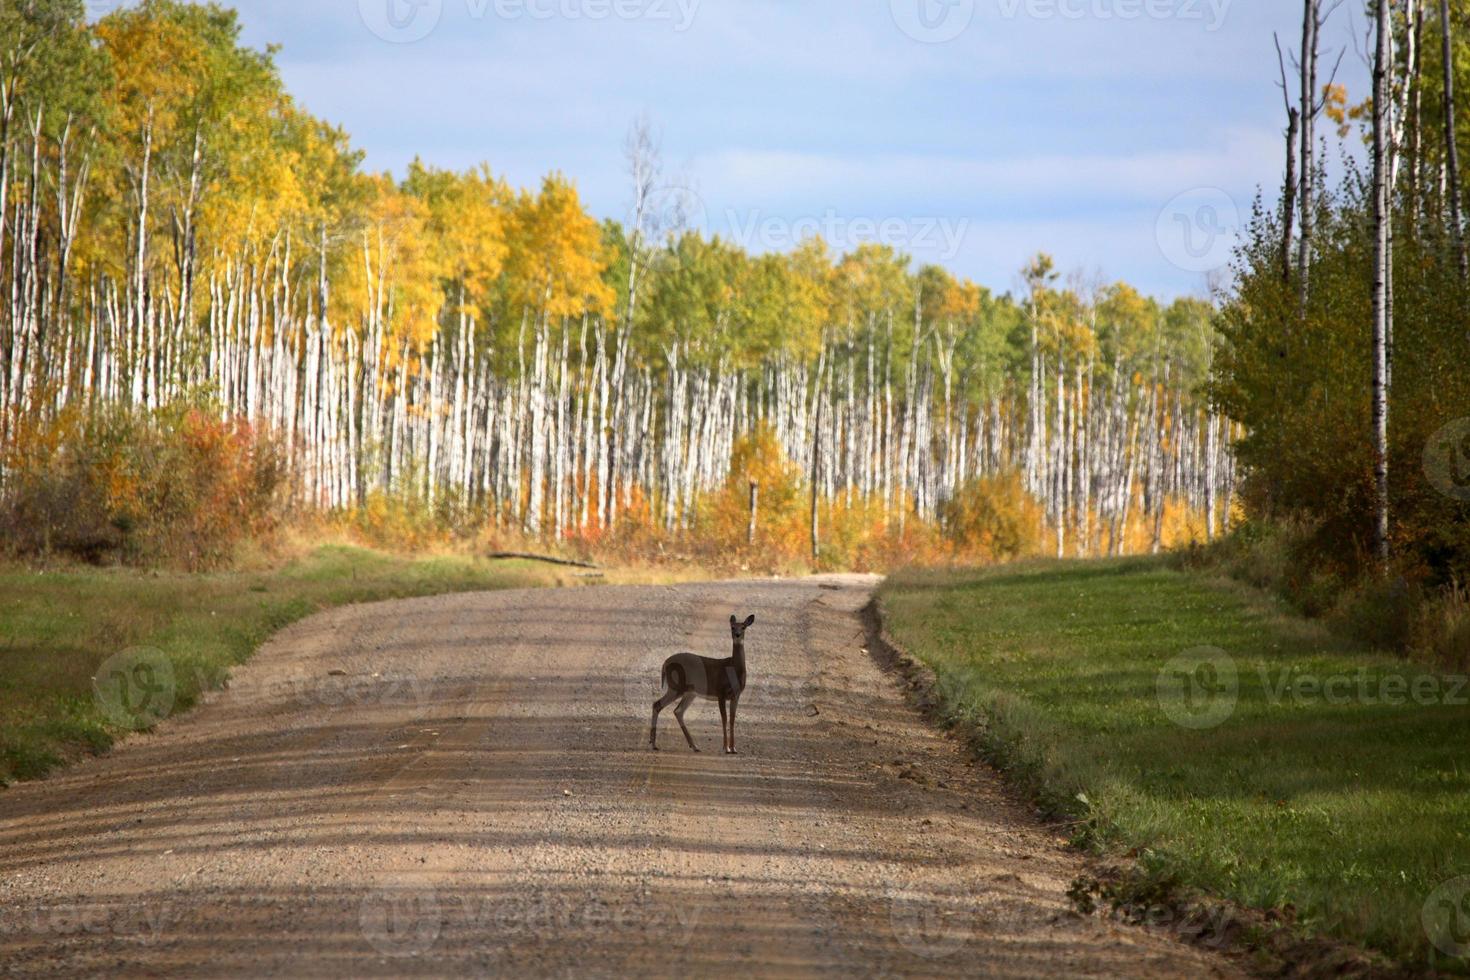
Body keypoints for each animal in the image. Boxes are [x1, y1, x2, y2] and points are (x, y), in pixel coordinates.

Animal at [649, 614, 752, 758]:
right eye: (732, 627)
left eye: (743, 627)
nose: (737, 635)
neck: (733, 669)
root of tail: (665, 663)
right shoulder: (720, 692)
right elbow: (724, 719)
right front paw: (726, 748)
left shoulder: (736, 695)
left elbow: (732, 719)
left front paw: (734, 748)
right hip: (676, 687)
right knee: (657, 704)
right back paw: (653, 744)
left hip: (690, 692)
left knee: (677, 710)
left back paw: (695, 746)